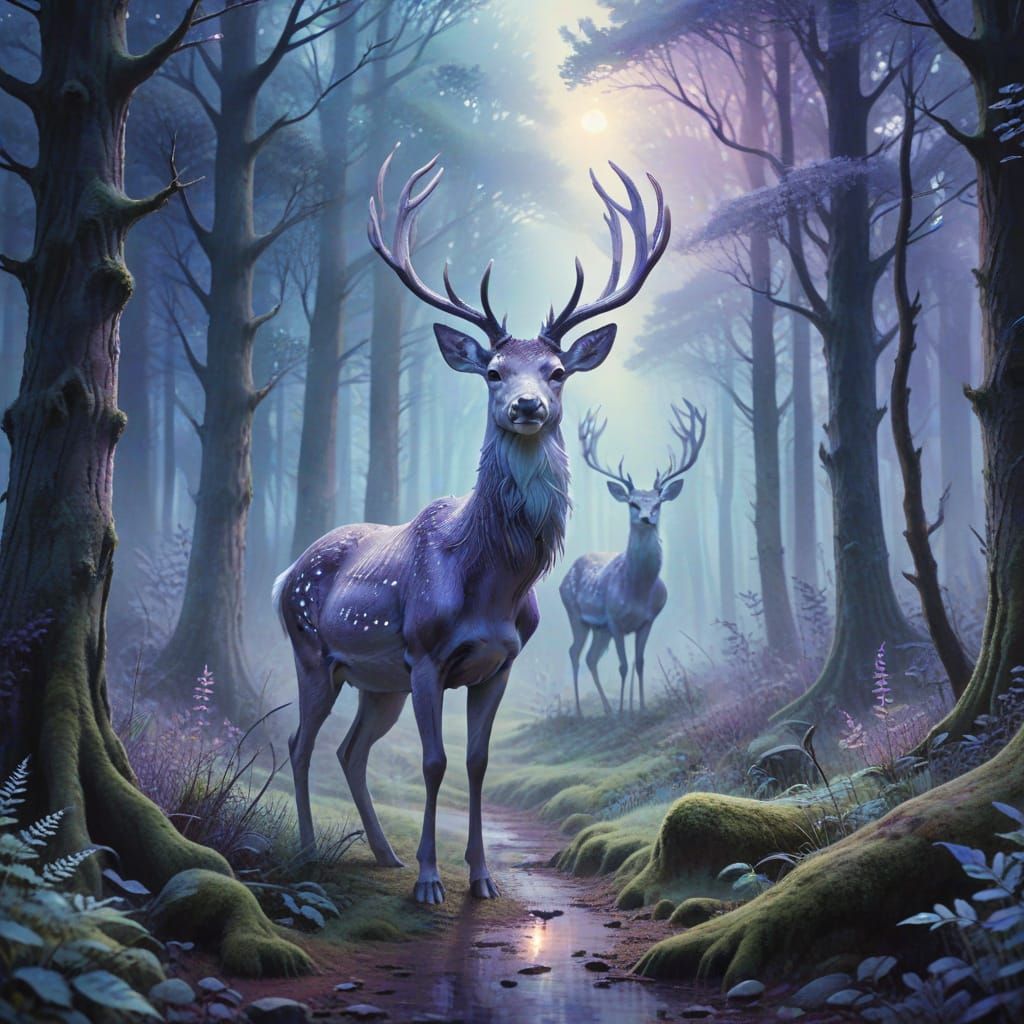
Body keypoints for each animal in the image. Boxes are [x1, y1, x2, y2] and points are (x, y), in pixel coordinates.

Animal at [273, 150, 670, 903]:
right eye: (491, 370)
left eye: (557, 371)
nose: (525, 405)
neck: (492, 586)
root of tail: (284, 572)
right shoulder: (427, 654)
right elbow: (434, 762)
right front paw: (432, 880)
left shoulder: (500, 661)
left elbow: (479, 762)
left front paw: (481, 876)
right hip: (315, 652)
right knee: (299, 744)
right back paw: (309, 850)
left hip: (377, 682)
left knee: (349, 748)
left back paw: (382, 854)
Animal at [560, 400, 706, 716]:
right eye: (632, 503)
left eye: (659, 502)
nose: (647, 517)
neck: (637, 590)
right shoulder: (615, 621)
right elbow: (623, 666)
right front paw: (625, 711)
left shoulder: (647, 621)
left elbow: (639, 664)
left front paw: (638, 707)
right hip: (576, 614)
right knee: (574, 652)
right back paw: (580, 711)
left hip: (599, 629)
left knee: (590, 658)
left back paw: (606, 708)